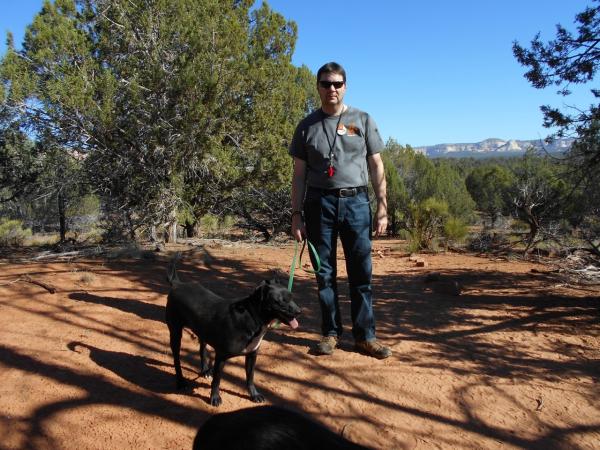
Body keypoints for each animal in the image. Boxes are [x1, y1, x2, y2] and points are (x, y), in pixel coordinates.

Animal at [166, 255, 302, 406]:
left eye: (292, 297)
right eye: (280, 301)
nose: (299, 311)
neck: (251, 315)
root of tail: (177, 284)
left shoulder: (252, 355)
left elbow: (250, 378)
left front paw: (254, 394)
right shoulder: (221, 357)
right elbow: (217, 381)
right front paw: (214, 398)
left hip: (202, 331)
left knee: (202, 349)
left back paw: (205, 370)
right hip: (175, 333)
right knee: (176, 359)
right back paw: (180, 381)